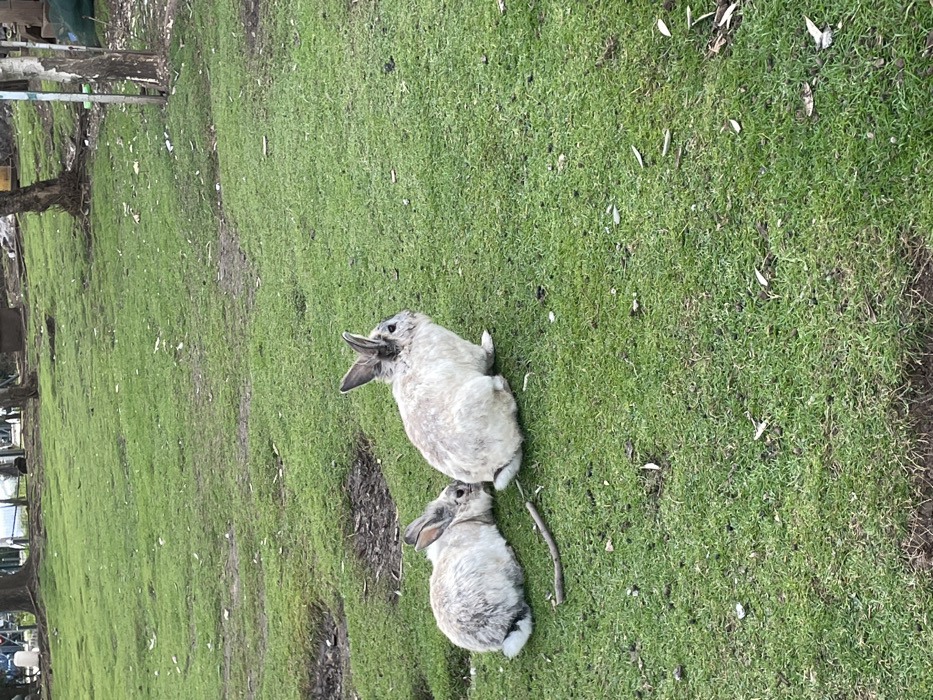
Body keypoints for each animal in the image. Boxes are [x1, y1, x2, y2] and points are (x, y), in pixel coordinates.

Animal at [340, 310, 523, 490]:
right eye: (392, 328)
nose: (408, 312)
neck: (404, 351)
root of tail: (496, 468)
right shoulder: (476, 354)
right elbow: (488, 354)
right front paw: (486, 336)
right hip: (485, 388)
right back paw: (501, 380)